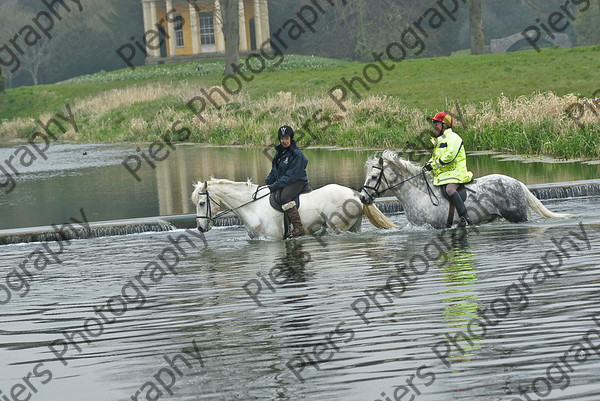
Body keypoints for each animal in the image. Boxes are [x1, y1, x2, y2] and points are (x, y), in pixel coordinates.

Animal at [192, 180, 396, 239]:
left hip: (338, 226)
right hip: (354, 225)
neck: (253, 207)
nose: (201, 228)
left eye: (201, 203)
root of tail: (355, 194)